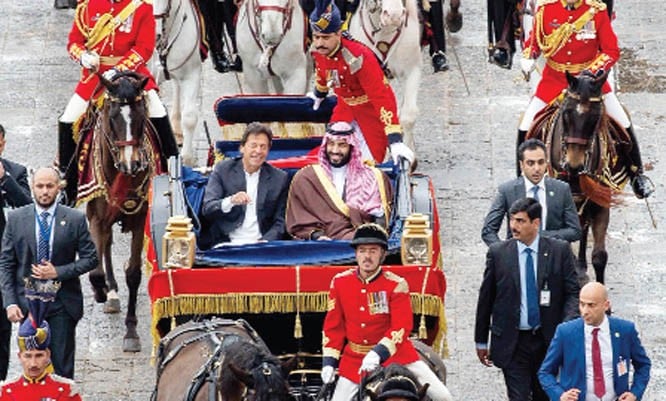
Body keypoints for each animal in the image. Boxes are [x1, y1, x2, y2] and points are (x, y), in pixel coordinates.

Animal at [78, 71, 161, 352]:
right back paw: (111, 292)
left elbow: (134, 274)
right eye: (112, 117)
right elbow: (95, 271)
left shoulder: (138, 220)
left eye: (141, 115)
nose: (131, 164)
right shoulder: (96, 217)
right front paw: (101, 291)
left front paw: (131, 331)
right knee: (105, 245)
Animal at [527, 71, 632, 284]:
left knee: (583, 226)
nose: (574, 164)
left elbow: (599, 256)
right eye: (566, 113)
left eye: (595, 116)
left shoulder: (600, 201)